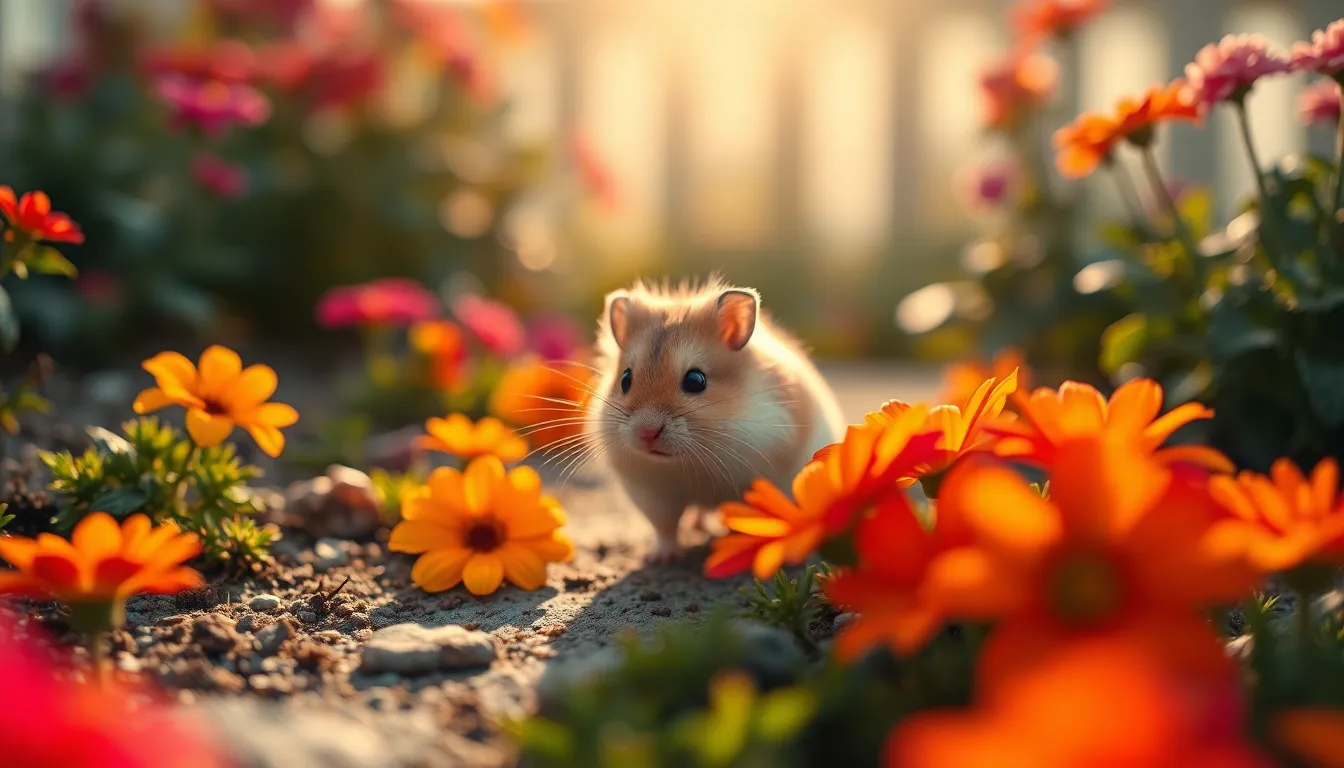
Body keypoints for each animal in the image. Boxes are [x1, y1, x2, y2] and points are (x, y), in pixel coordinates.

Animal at [587, 276, 846, 563]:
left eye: (696, 380)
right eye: (625, 380)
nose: (647, 432)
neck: (687, 464)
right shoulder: (653, 494)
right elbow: (665, 528)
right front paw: (663, 558)